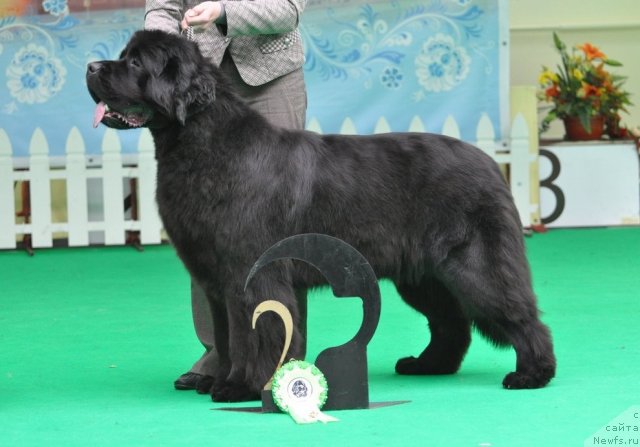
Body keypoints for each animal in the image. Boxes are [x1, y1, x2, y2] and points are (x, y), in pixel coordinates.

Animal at [86, 30, 556, 402]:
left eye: (135, 62)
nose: (91, 66)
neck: (202, 143)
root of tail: (491, 162)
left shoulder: (249, 272)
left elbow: (253, 332)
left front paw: (240, 387)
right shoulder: (214, 277)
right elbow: (226, 334)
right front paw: (219, 380)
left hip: (473, 264)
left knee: (517, 313)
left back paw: (532, 374)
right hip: (423, 275)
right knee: (450, 322)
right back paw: (427, 366)